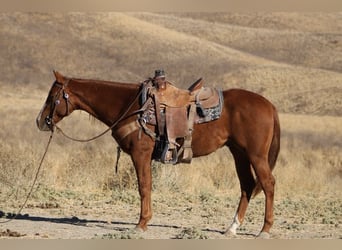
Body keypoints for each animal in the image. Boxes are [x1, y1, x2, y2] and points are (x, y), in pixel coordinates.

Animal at [36, 71, 280, 238]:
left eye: (52, 96)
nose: (40, 121)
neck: (130, 107)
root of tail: (269, 105)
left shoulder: (140, 154)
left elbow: (144, 186)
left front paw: (141, 223)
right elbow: (147, 186)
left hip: (256, 156)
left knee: (267, 183)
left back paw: (265, 229)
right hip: (239, 153)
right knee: (247, 185)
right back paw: (232, 228)